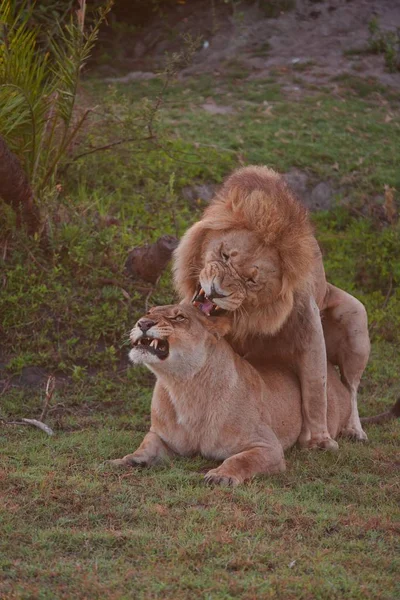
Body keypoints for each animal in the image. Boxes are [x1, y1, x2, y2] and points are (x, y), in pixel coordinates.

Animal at [110, 308, 356, 486]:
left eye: (179, 317)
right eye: (149, 312)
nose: (143, 323)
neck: (184, 386)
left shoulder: (268, 446)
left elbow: (240, 459)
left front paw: (220, 476)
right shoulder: (161, 435)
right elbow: (146, 444)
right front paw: (126, 459)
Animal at [173, 166, 370, 448]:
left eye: (251, 281)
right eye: (225, 255)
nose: (217, 291)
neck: (245, 317)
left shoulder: (308, 325)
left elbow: (316, 388)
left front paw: (319, 440)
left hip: (356, 322)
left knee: (351, 387)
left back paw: (355, 430)